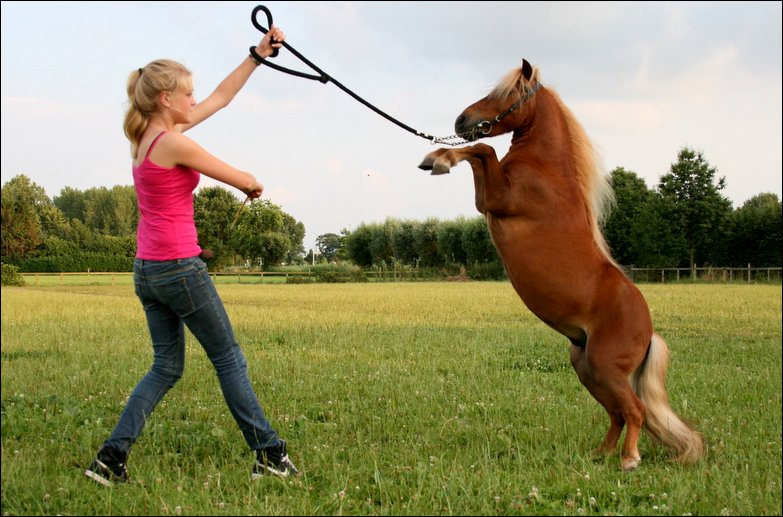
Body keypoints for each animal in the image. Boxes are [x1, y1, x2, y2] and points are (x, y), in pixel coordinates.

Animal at [419, 59, 703, 471]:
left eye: (509, 93)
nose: (461, 120)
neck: (546, 169)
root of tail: (650, 332)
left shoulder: (497, 198)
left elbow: (483, 148)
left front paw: (439, 160)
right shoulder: (487, 198)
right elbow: (479, 151)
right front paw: (436, 158)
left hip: (605, 368)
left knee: (634, 410)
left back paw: (629, 459)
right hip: (585, 367)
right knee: (617, 413)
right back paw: (600, 454)